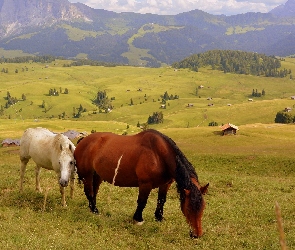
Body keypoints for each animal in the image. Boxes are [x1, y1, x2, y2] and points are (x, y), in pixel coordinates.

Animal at [74, 130, 208, 237]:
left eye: (203, 208)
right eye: (189, 209)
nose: (197, 234)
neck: (158, 154)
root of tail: (83, 140)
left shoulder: (165, 184)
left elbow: (161, 200)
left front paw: (159, 217)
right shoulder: (145, 184)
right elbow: (142, 202)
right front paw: (138, 219)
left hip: (98, 175)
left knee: (94, 191)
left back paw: (93, 208)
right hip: (87, 175)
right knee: (89, 192)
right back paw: (95, 210)